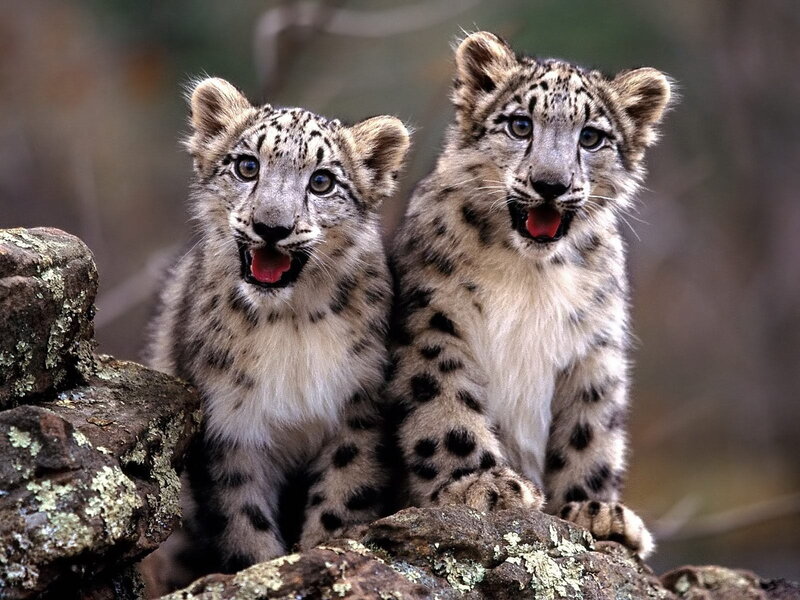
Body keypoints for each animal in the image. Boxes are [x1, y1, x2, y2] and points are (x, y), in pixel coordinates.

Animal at [143, 77, 410, 590]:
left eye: (322, 181)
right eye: (247, 166)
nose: (271, 227)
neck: (290, 324)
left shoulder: (358, 411)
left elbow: (341, 499)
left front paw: (321, 552)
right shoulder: (230, 425)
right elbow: (243, 519)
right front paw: (262, 569)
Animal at [387, 31, 674, 558]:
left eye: (591, 137)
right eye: (520, 124)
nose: (550, 184)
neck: (531, 275)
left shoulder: (594, 346)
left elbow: (590, 429)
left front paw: (594, 510)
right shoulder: (432, 322)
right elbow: (444, 404)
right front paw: (481, 485)